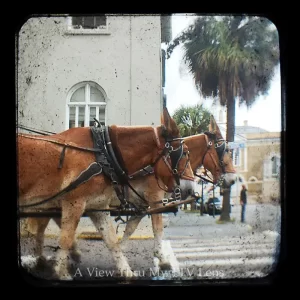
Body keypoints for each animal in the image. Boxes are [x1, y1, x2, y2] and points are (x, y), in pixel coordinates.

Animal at [21, 115, 237, 276]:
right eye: (225, 150)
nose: (233, 179)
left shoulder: (139, 203)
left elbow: (130, 228)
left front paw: (122, 249)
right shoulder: (154, 199)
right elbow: (157, 228)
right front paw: (162, 259)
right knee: (44, 225)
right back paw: (44, 257)